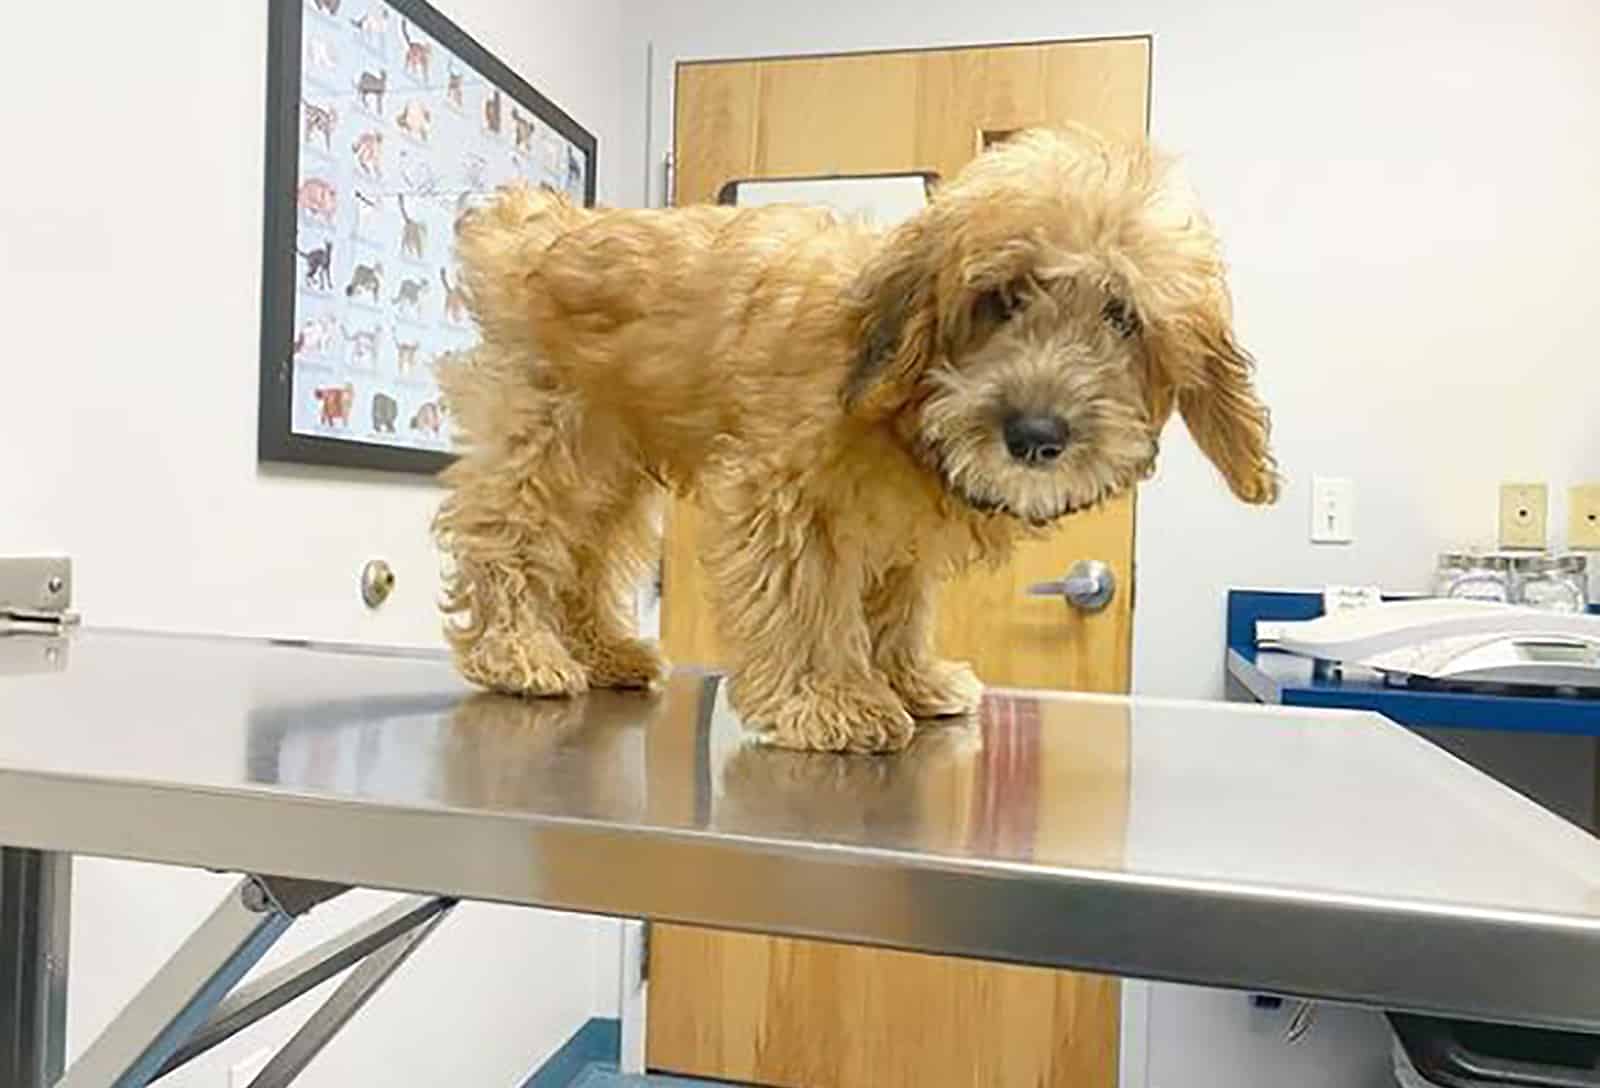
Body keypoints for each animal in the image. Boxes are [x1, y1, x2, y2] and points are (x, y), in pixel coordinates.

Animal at [432, 127, 1280, 752]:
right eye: (1002, 297)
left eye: (1122, 316)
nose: (1037, 434)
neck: (907, 404)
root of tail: (538, 227)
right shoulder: (785, 496)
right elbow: (806, 598)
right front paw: (829, 698)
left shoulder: (896, 530)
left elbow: (897, 603)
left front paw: (909, 678)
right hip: (556, 436)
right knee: (504, 532)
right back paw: (518, 651)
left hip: (616, 460)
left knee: (587, 554)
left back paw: (602, 648)